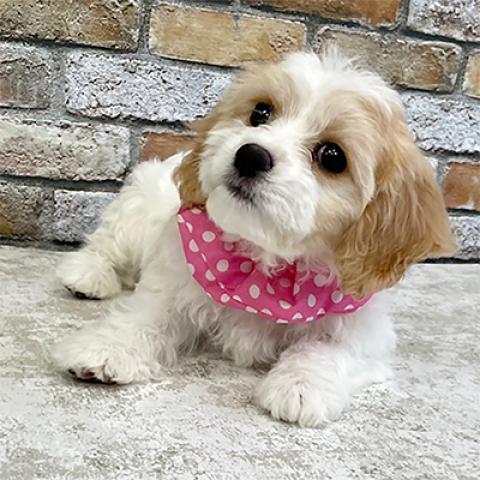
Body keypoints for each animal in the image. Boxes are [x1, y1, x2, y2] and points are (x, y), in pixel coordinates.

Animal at [52, 49, 456, 427]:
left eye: (332, 156)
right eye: (261, 113)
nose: (250, 155)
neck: (264, 260)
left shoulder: (365, 330)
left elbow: (329, 349)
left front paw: (300, 385)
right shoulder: (174, 280)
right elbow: (145, 315)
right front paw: (106, 348)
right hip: (138, 208)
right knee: (109, 243)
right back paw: (87, 275)